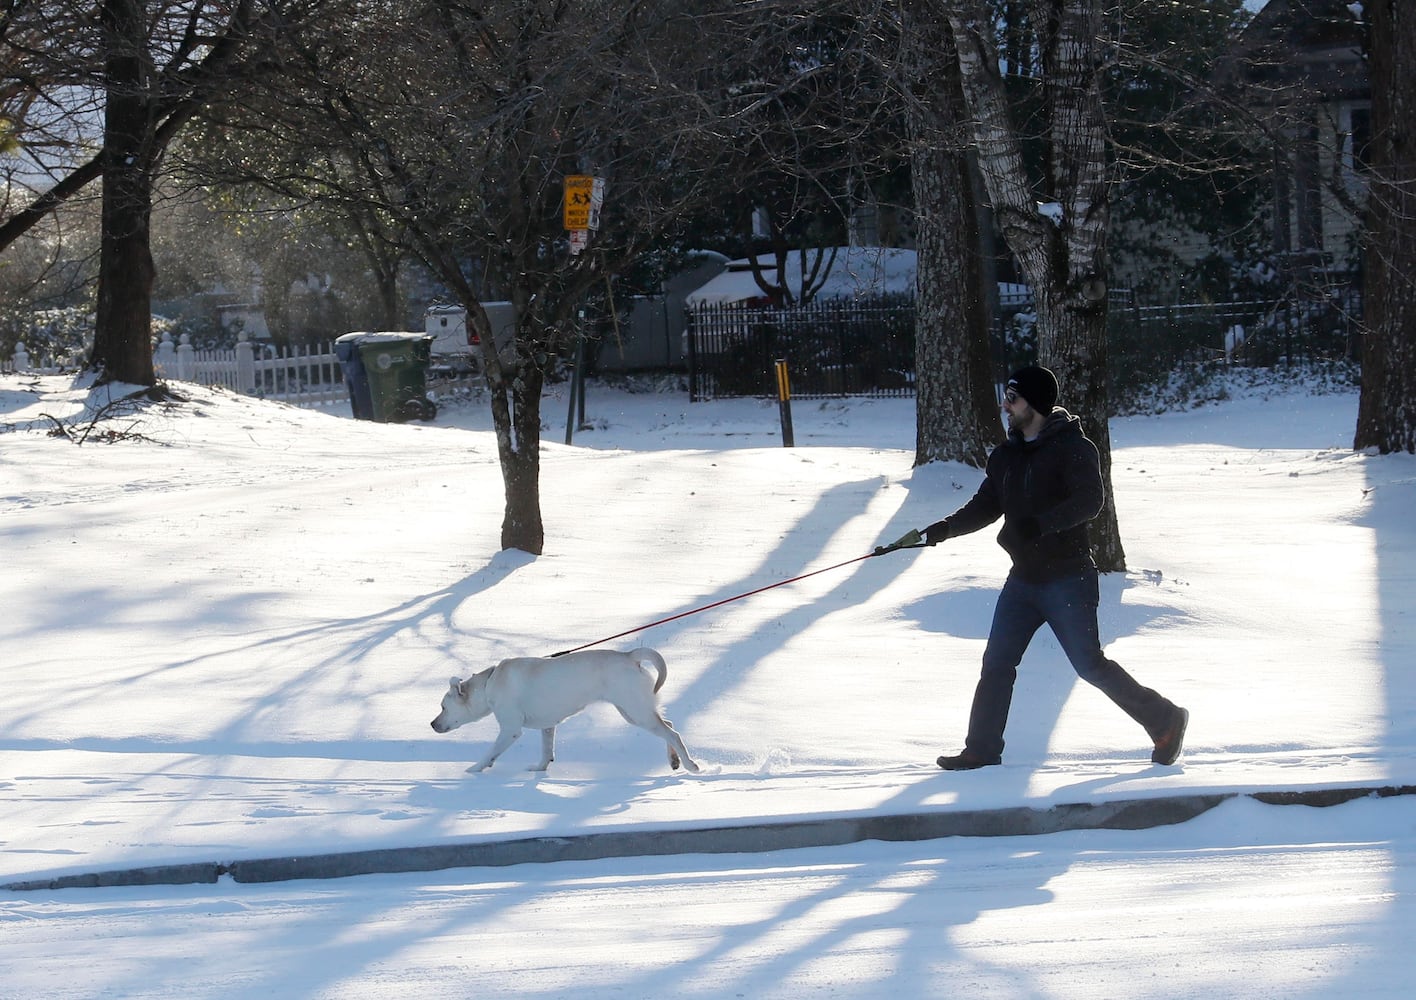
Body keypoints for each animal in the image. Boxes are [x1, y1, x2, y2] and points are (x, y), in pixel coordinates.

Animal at [427, 643, 699, 776]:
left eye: (443, 707)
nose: (431, 723)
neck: (489, 683)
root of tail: (629, 655)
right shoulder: (548, 726)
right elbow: (547, 750)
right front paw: (540, 769)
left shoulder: (509, 729)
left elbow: (490, 752)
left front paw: (475, 768)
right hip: (633, 711)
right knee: (669, 726)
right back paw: (674, 761)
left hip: (637, 711)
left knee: (672, 733)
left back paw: (689, 764)